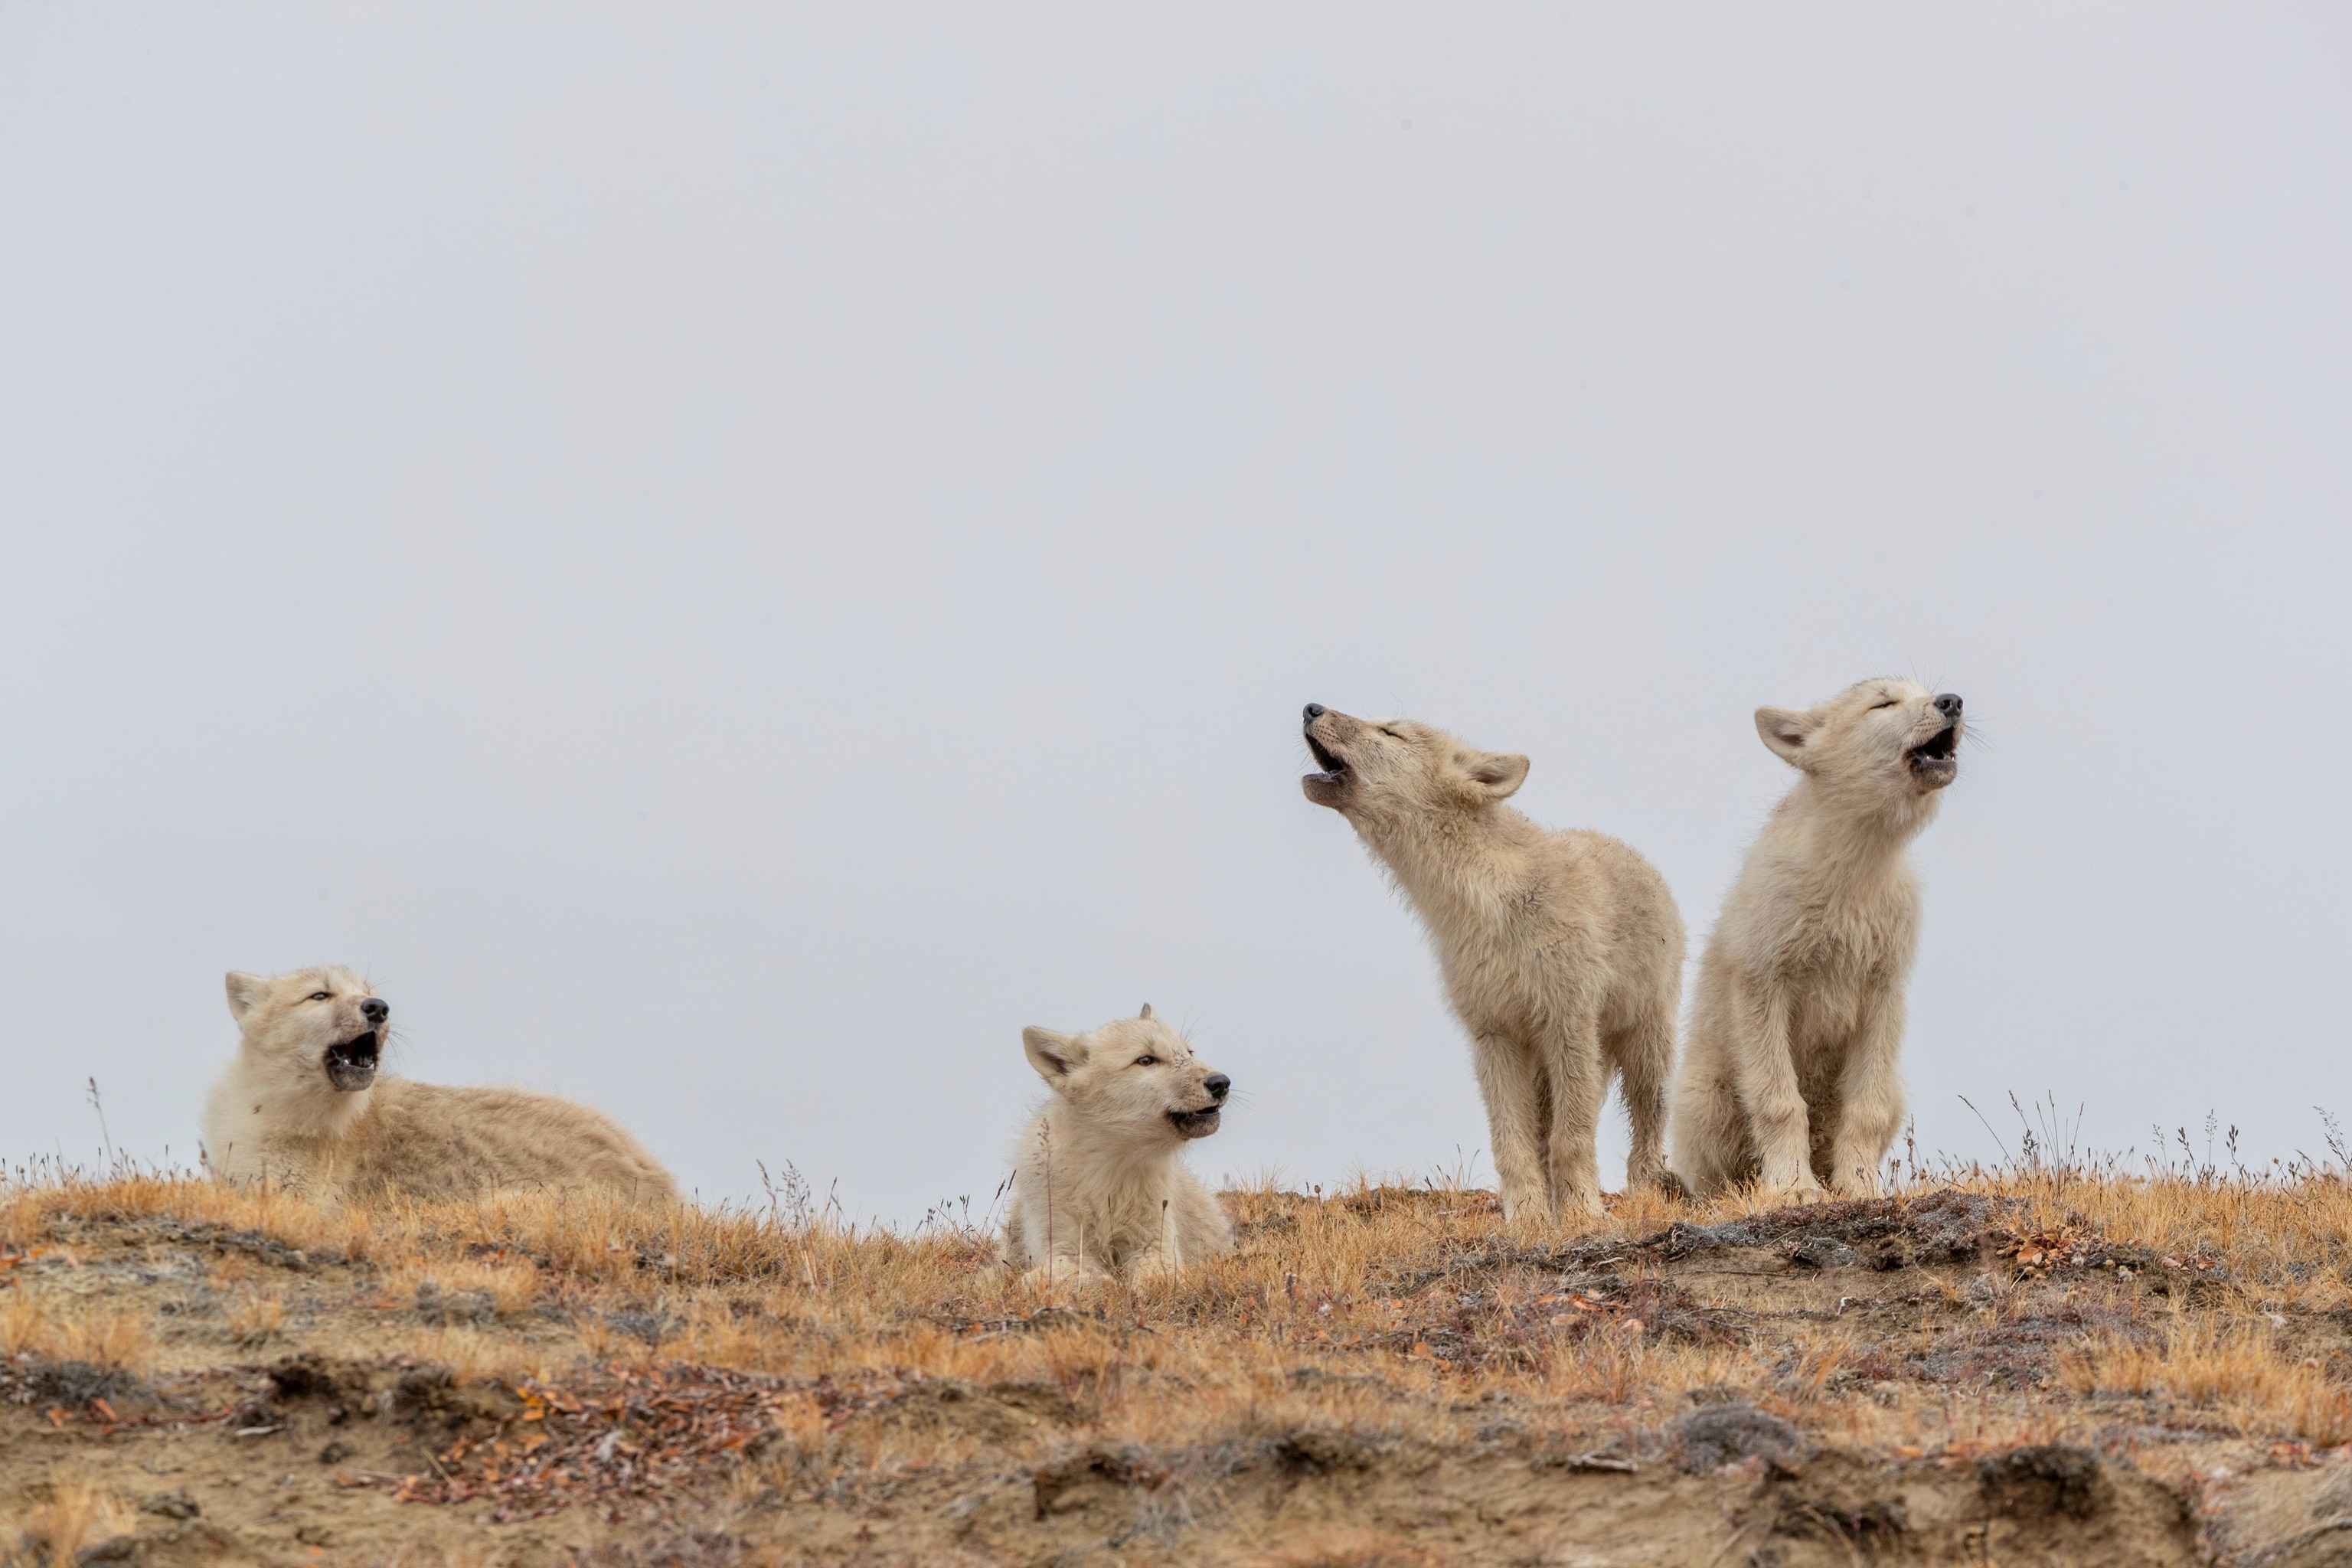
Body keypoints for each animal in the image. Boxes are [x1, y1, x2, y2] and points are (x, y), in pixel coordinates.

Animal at [1002, 1005, 1234, 1284]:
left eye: (1189, 1053)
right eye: (1146, 1060)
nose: (1221, 1083)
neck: (1107, 1178)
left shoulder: (1154, 1244)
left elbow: (1152, 1278)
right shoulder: (1064, 1247)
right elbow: (1077, 1274)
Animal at [1301, 705, 1685, 1223]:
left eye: (1390, 732)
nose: (1311, 708)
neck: (1484, 904)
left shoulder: (1568, 1022)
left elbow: (1571, 1138)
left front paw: (1582, 1215)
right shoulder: (1494, 1035)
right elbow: (1514, 1146)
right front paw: (1528, 1219)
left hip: (1642, 1048)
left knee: (1646, 1125)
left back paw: (1645, 1190)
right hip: (1546, 1062)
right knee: (1543, 1129)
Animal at [1672, 679, 1964, 1198]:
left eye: (1924, 691)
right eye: (1883, 703)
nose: (1951, 701)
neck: (1852, 875)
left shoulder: (1883, 991)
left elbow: (1865, 1111)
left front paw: (1860, 1189)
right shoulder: (1763, 979)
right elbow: (1780, 1101)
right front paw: (1792, 1188)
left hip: (1895, 1088)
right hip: (1703, 1096)